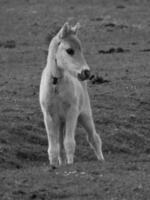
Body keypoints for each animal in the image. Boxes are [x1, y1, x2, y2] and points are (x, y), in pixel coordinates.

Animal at [39, 22, 103, 167]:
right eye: (69, 50)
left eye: (81, 49)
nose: (86, 72)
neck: (55, 84)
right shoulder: (49, 117)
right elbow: (54, 148)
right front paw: (53, 165)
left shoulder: (72, 113)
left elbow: (69, 143)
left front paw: (70, 164)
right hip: (60, 122)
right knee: (60, 146)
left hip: (85, 115)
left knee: (94, 138)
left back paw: (101, 160)